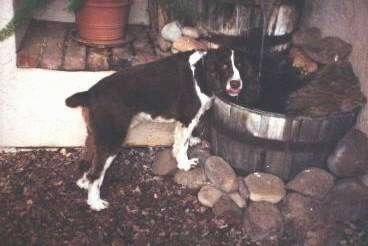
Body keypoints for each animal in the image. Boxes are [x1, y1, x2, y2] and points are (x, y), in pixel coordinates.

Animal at [66, 48, 254, 211]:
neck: (202, 71)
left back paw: (83, 183)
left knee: (87, 162)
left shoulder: (183, 122)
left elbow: (180, 142)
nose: (236, 84)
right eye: (225, 66)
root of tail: (90, 93)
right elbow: (183, 145)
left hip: (96, 136)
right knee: (96, 173)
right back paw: (95, 203)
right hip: (112, 140)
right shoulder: (188, 118)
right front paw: (185, 164)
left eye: (240, 65)